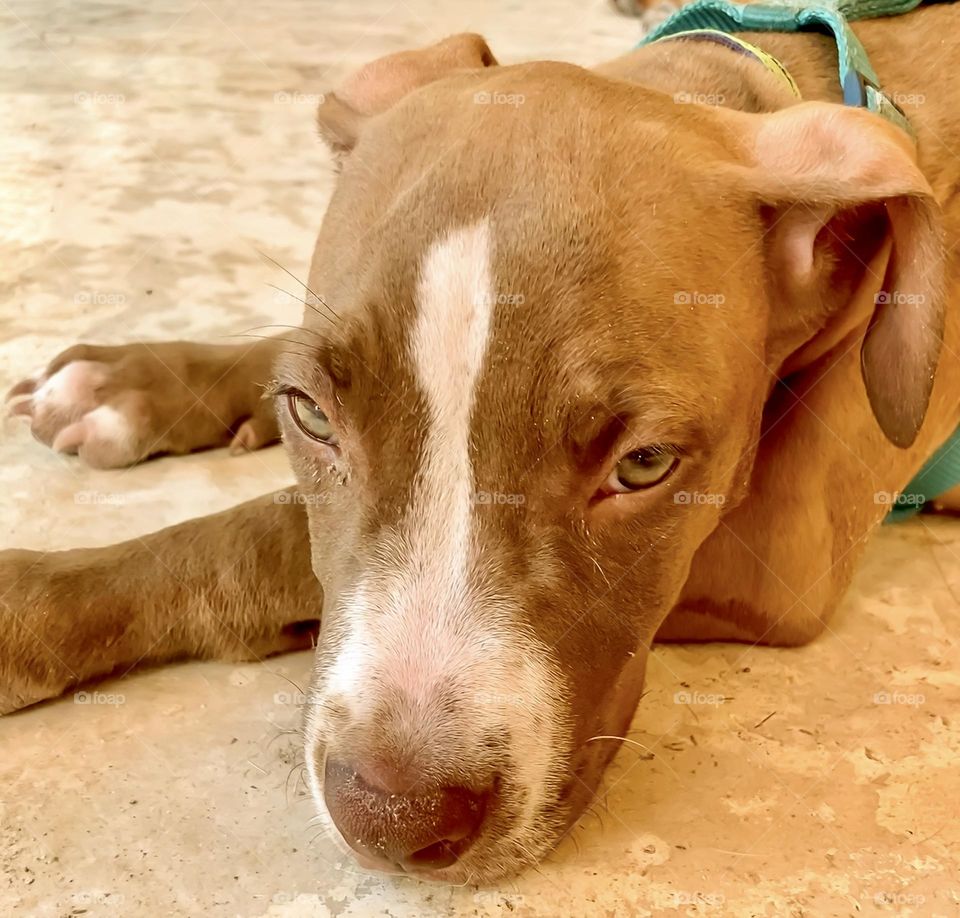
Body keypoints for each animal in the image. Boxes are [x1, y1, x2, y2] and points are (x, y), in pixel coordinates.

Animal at [1, 3, 960, 888]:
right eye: (311, 416)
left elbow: (259, 533)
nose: (393, 819)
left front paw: (37, 603)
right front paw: (128, 383)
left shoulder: (776, 560)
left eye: (644, 466)